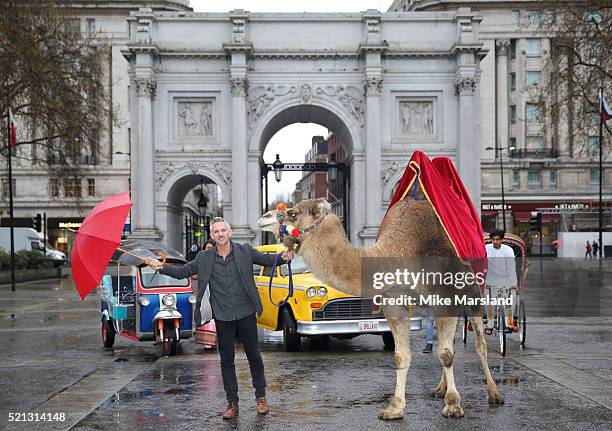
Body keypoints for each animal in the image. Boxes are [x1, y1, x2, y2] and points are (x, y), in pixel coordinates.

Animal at [256, 197, 504, 420]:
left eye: (293, 212)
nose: (264, 217)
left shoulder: (446, 297)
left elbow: (445, 354)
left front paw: (453, 406)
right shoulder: (393, 302)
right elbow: (402, 356)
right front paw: (394, 408)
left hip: (473, 291)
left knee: (480, 343)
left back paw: (494, 394)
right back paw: (439, 390)